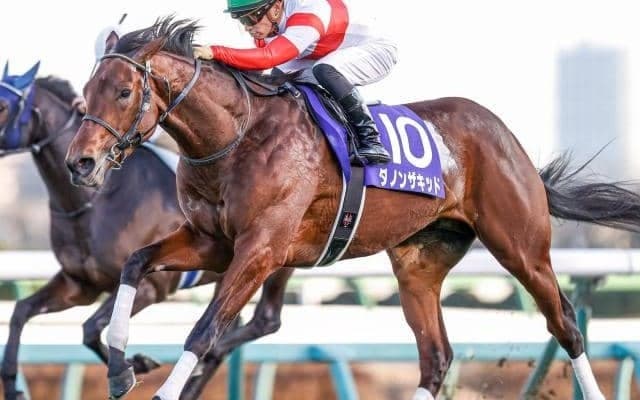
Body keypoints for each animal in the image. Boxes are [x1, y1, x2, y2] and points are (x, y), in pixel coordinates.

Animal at [0, 63, 293, 400]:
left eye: (2, 105)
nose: (79, 165)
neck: (93, 201)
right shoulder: (80, 284)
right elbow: (21, 311)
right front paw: (12, 386)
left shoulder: (152, 287)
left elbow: (91, 326)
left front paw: (135, 364)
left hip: (272, 259)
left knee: (265, 320)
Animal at [64, 18, 640, 400]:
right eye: (86, 91)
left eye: (123, 91)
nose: (80, 162)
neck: (238, 135)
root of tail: (509, 139)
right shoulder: (214, 243)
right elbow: (136, 263)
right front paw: (120, 368)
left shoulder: (260, 250)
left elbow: (205, 330)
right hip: (419, 263)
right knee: (436, 357)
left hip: (521, 246)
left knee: (565, 324)